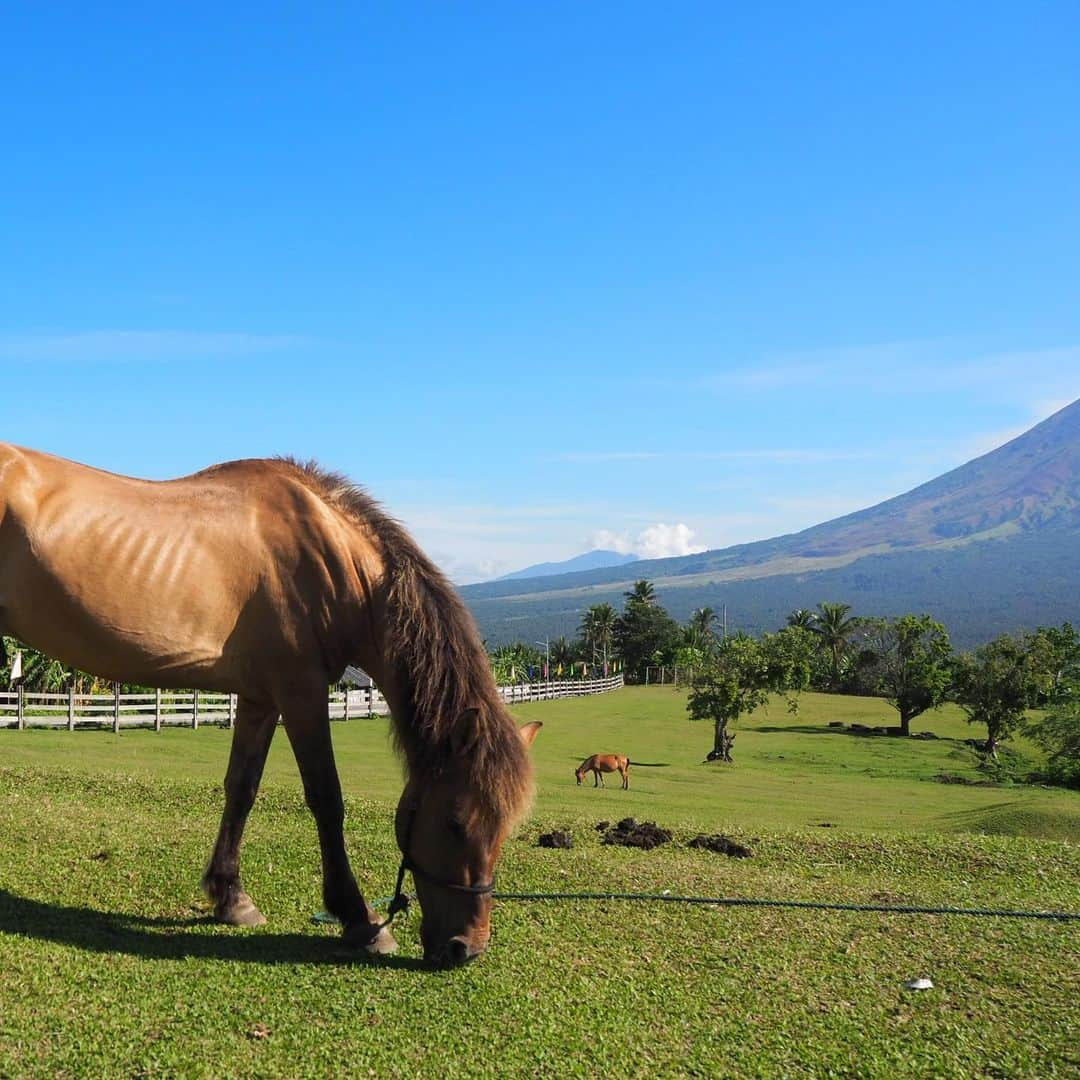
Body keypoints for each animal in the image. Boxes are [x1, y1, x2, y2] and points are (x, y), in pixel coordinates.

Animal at [0, 442, 540, 967]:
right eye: (455, 822)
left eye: (505, 829)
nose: (465, 948)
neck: (332, 561)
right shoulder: (301, 691)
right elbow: (326, 799)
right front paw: (359, 920)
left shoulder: (261, 698)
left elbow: (242, 789)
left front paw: (230, 897)